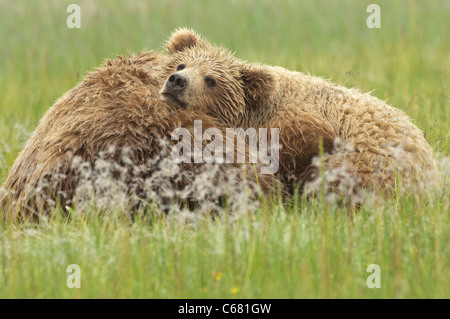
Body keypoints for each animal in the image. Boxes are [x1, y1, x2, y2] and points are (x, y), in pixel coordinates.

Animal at [158, 29, 436, 200]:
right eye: (181, 64)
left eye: (210, 80)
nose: (178, 81)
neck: (253, 115)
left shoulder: (294, 125)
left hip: (376, 167)